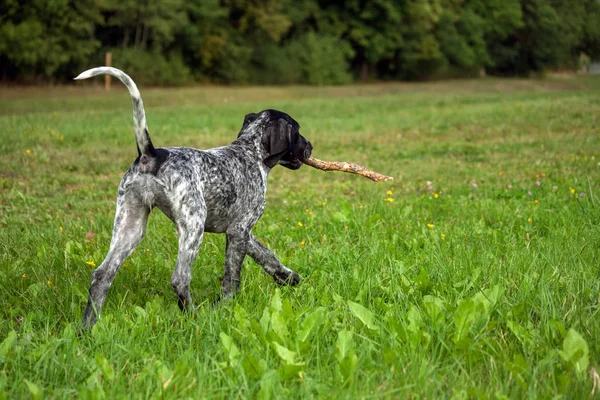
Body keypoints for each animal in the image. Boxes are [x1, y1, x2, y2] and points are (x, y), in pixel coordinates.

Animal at [74, 66, 314, 328]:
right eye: (298, 132)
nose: (311, 146)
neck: (249, 152)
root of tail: (151, 154)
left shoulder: (242, 232)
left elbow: (267, 256)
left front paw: (288, 277)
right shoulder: (239, 230)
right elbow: (232, 277)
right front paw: (225, 306)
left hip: (130, 227)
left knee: (102, 275)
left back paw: (87, 327)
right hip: (193, 226)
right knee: (179, 279)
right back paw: (194, 318)